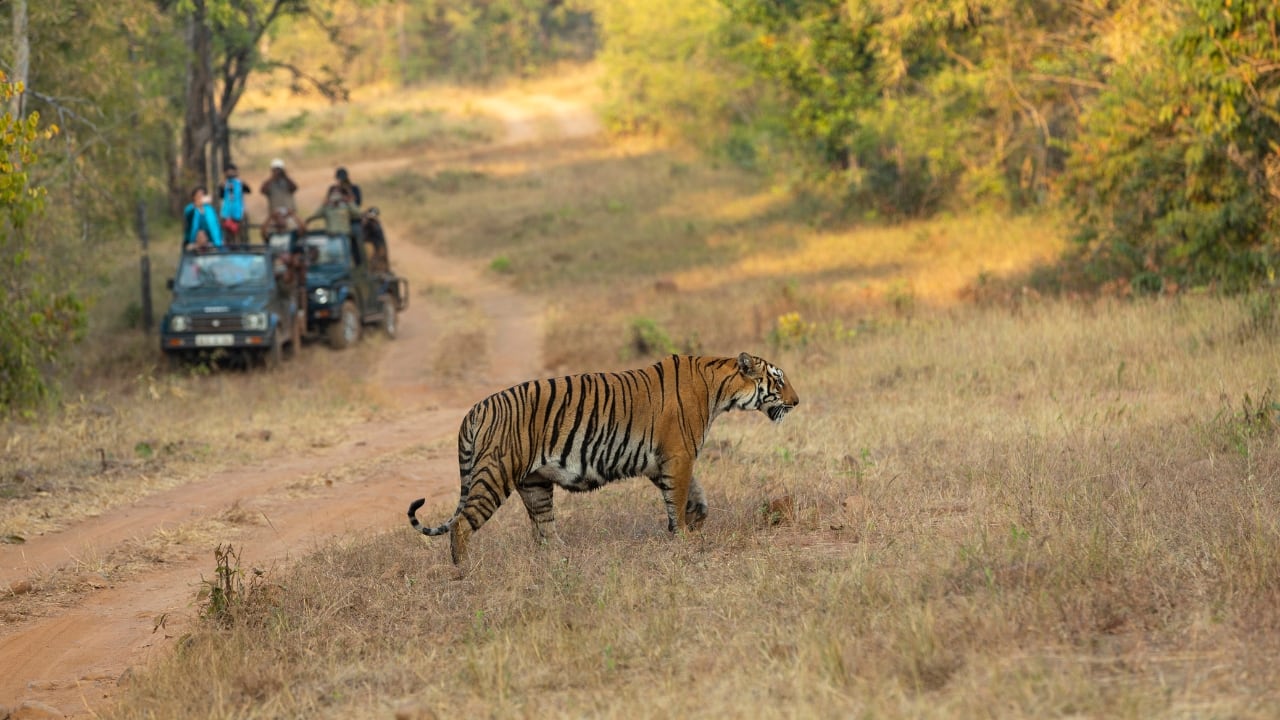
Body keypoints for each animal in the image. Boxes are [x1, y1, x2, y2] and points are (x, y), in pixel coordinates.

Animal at [407, 352, 800, 565]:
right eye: (778, 381)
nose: (797, 402)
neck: (720, 389)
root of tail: (475, 409)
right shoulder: (678, 456)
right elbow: (679, 497)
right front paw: (684, 537)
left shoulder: (661, 461)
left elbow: (695, 497)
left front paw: (695, 522)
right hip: (495, 474)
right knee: (461, 524)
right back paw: (464, 570)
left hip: (534, 484)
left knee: (543, 530)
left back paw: (562, 557)